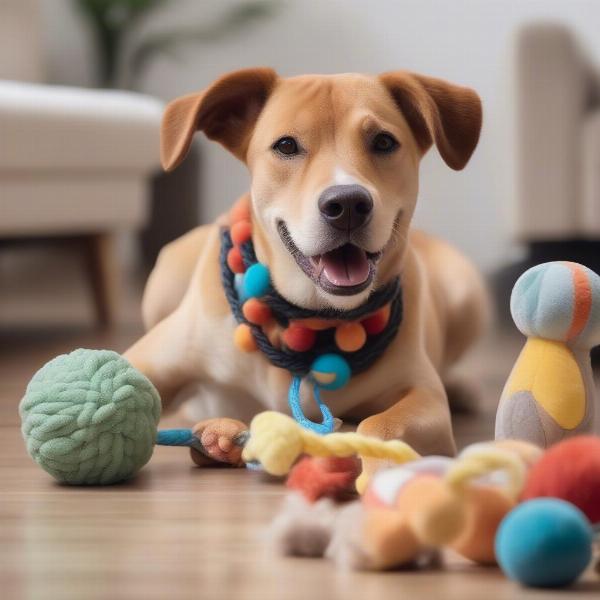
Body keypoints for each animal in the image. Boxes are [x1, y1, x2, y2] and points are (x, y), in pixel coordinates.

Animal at [125, 67, 488, 478]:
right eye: (286, 145)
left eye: (383, 141)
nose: (348, 203)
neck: (314, 315)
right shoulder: (147, 360)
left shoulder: (424, 396)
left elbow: (381, 424)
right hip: (165, 276)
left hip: (466, 291)